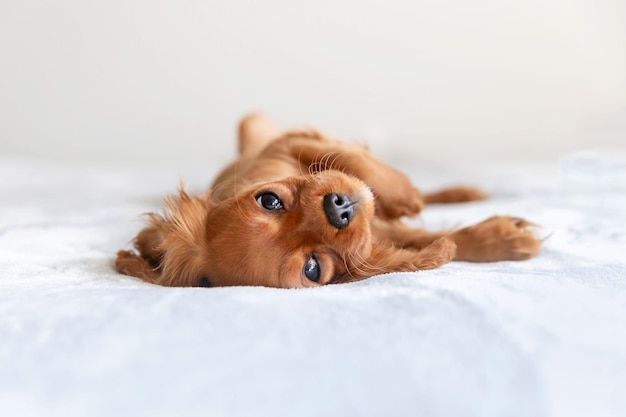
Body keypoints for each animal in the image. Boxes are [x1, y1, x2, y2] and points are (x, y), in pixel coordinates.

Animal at [117, 115, 540, 288]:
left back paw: (457, 192)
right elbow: (436, 242)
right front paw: (504, 240)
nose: (340, 208)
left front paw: (403, 193)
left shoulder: (285, 144)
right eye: (312, 268)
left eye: (269, 200)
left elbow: (353, 162)